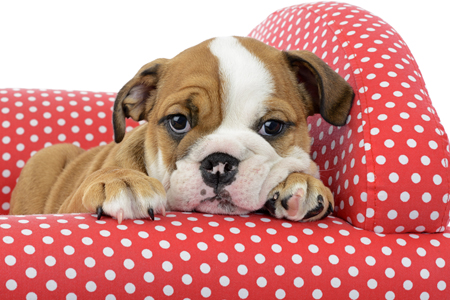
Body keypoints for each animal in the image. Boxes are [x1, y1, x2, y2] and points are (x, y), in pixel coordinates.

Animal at [10, 36, 354, 223]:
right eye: (178, 122)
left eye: (272, 126)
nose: (219, 163)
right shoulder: (67, 206)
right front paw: (120, 181)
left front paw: (301, 181)